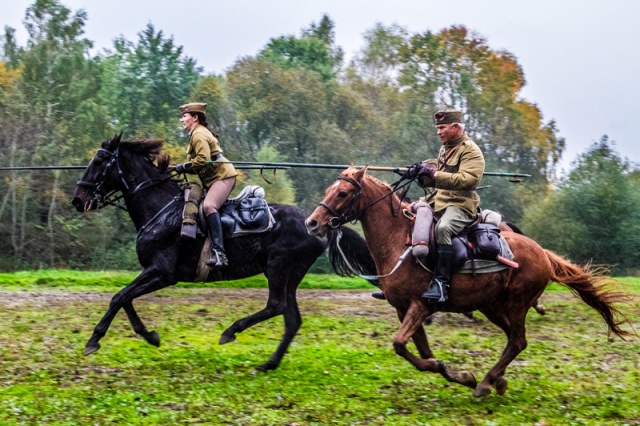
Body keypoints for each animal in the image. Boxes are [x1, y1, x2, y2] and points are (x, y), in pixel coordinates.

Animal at [72, 133, 378, 370]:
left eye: (98, 162)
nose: (78, 199)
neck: (161, 210)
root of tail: (317, 223)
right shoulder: (152, 272)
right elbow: (125, 299)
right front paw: (150, 336)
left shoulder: (162, 273)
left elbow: (119, 297)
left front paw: (94, 340)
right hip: (290, 273)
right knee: (291, 319)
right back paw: (269, 363)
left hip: (278, 267)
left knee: (276, 306)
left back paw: (232, 331)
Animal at [304, 166, 632, 396]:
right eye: (330, 189)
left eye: (343, 194)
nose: (312, 223)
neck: (400, 240)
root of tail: (543, 254)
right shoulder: (403, 309)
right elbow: (418, 350)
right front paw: (457, 374)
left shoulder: (420, 305)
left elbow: (400, 344)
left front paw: (456, 373)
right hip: (492, 307)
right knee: (513, 340)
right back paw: (495, 380)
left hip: (515, 305)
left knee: (518, 340)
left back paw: (487, 382)